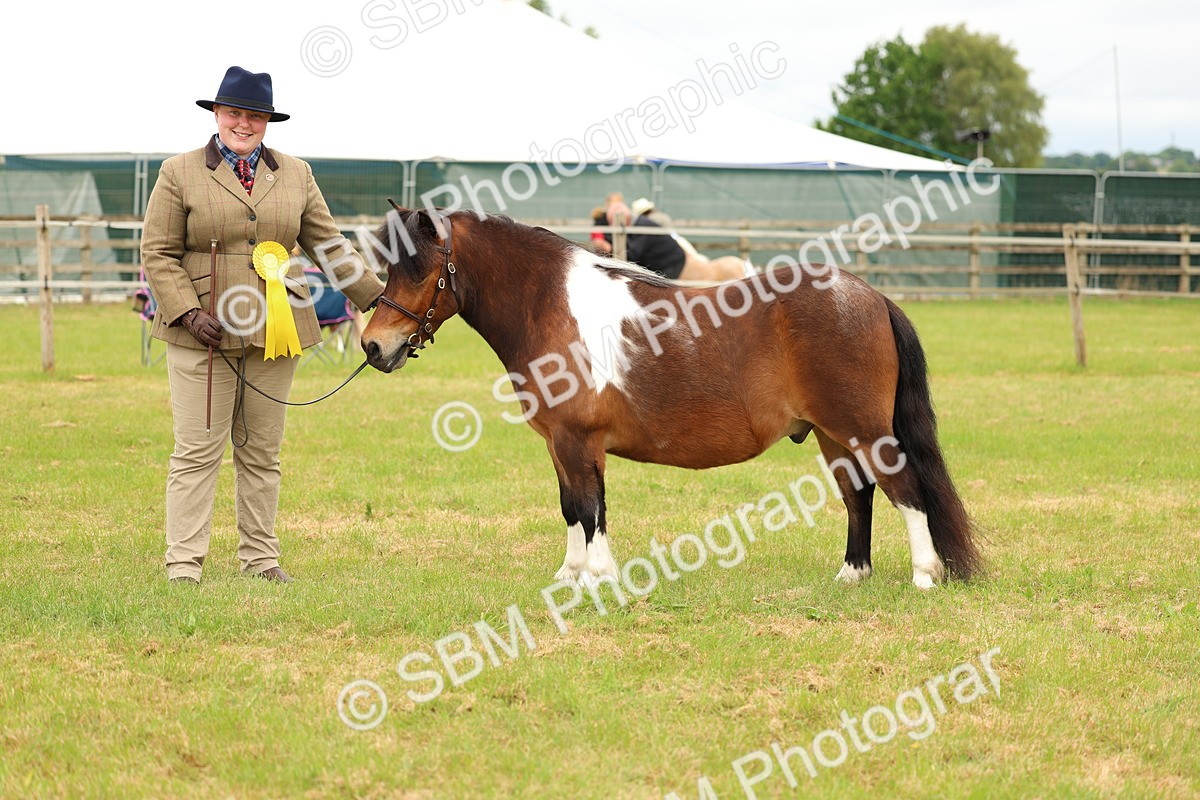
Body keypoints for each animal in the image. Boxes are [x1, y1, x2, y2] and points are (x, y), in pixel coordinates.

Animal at [360, 207, 981, 589]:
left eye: (422, 270)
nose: (373, 345)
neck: (550, 305)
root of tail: (871, 295)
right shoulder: (558, 444)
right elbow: (570, 507)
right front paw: (569, 574)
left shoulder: (580, 441)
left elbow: (592, 509)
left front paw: (599, 577)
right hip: (832, 434)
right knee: (859, 496)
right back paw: (853, 573)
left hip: (866, 430)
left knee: (905, 490)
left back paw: (924, 574)